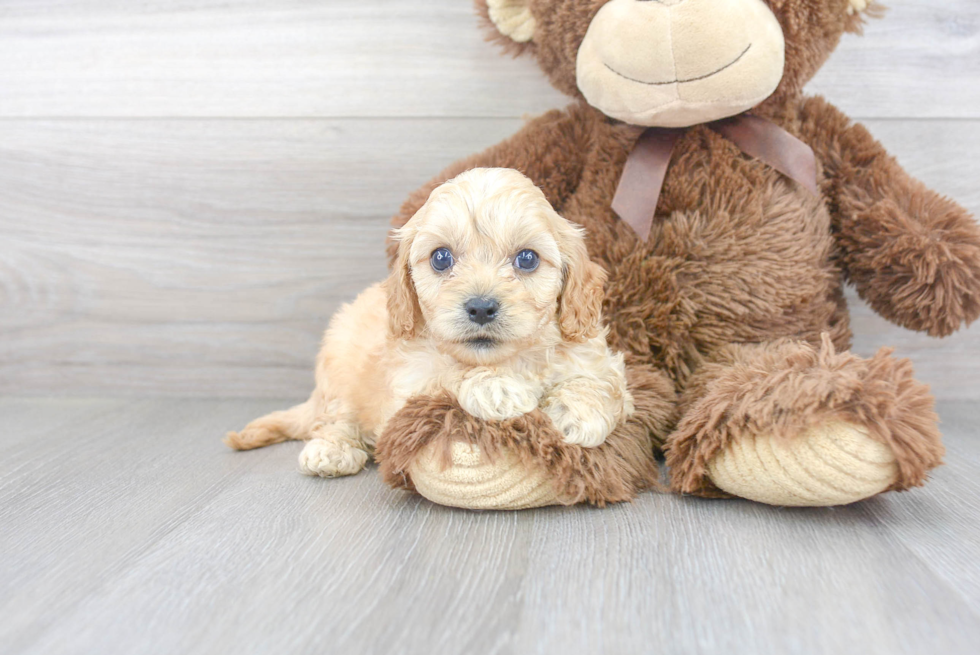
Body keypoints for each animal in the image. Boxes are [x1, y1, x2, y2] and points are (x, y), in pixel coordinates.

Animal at [225, 168, 632, 476]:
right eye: (441, 258)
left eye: (527, 258)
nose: (481, 307)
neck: (505, 358)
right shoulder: (410, 386)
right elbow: (448, 376)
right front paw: (497, 387)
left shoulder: (595, 355)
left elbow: (599, 382)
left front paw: (579, 412)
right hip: (337, 368)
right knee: (334, 417)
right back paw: (331, 450)